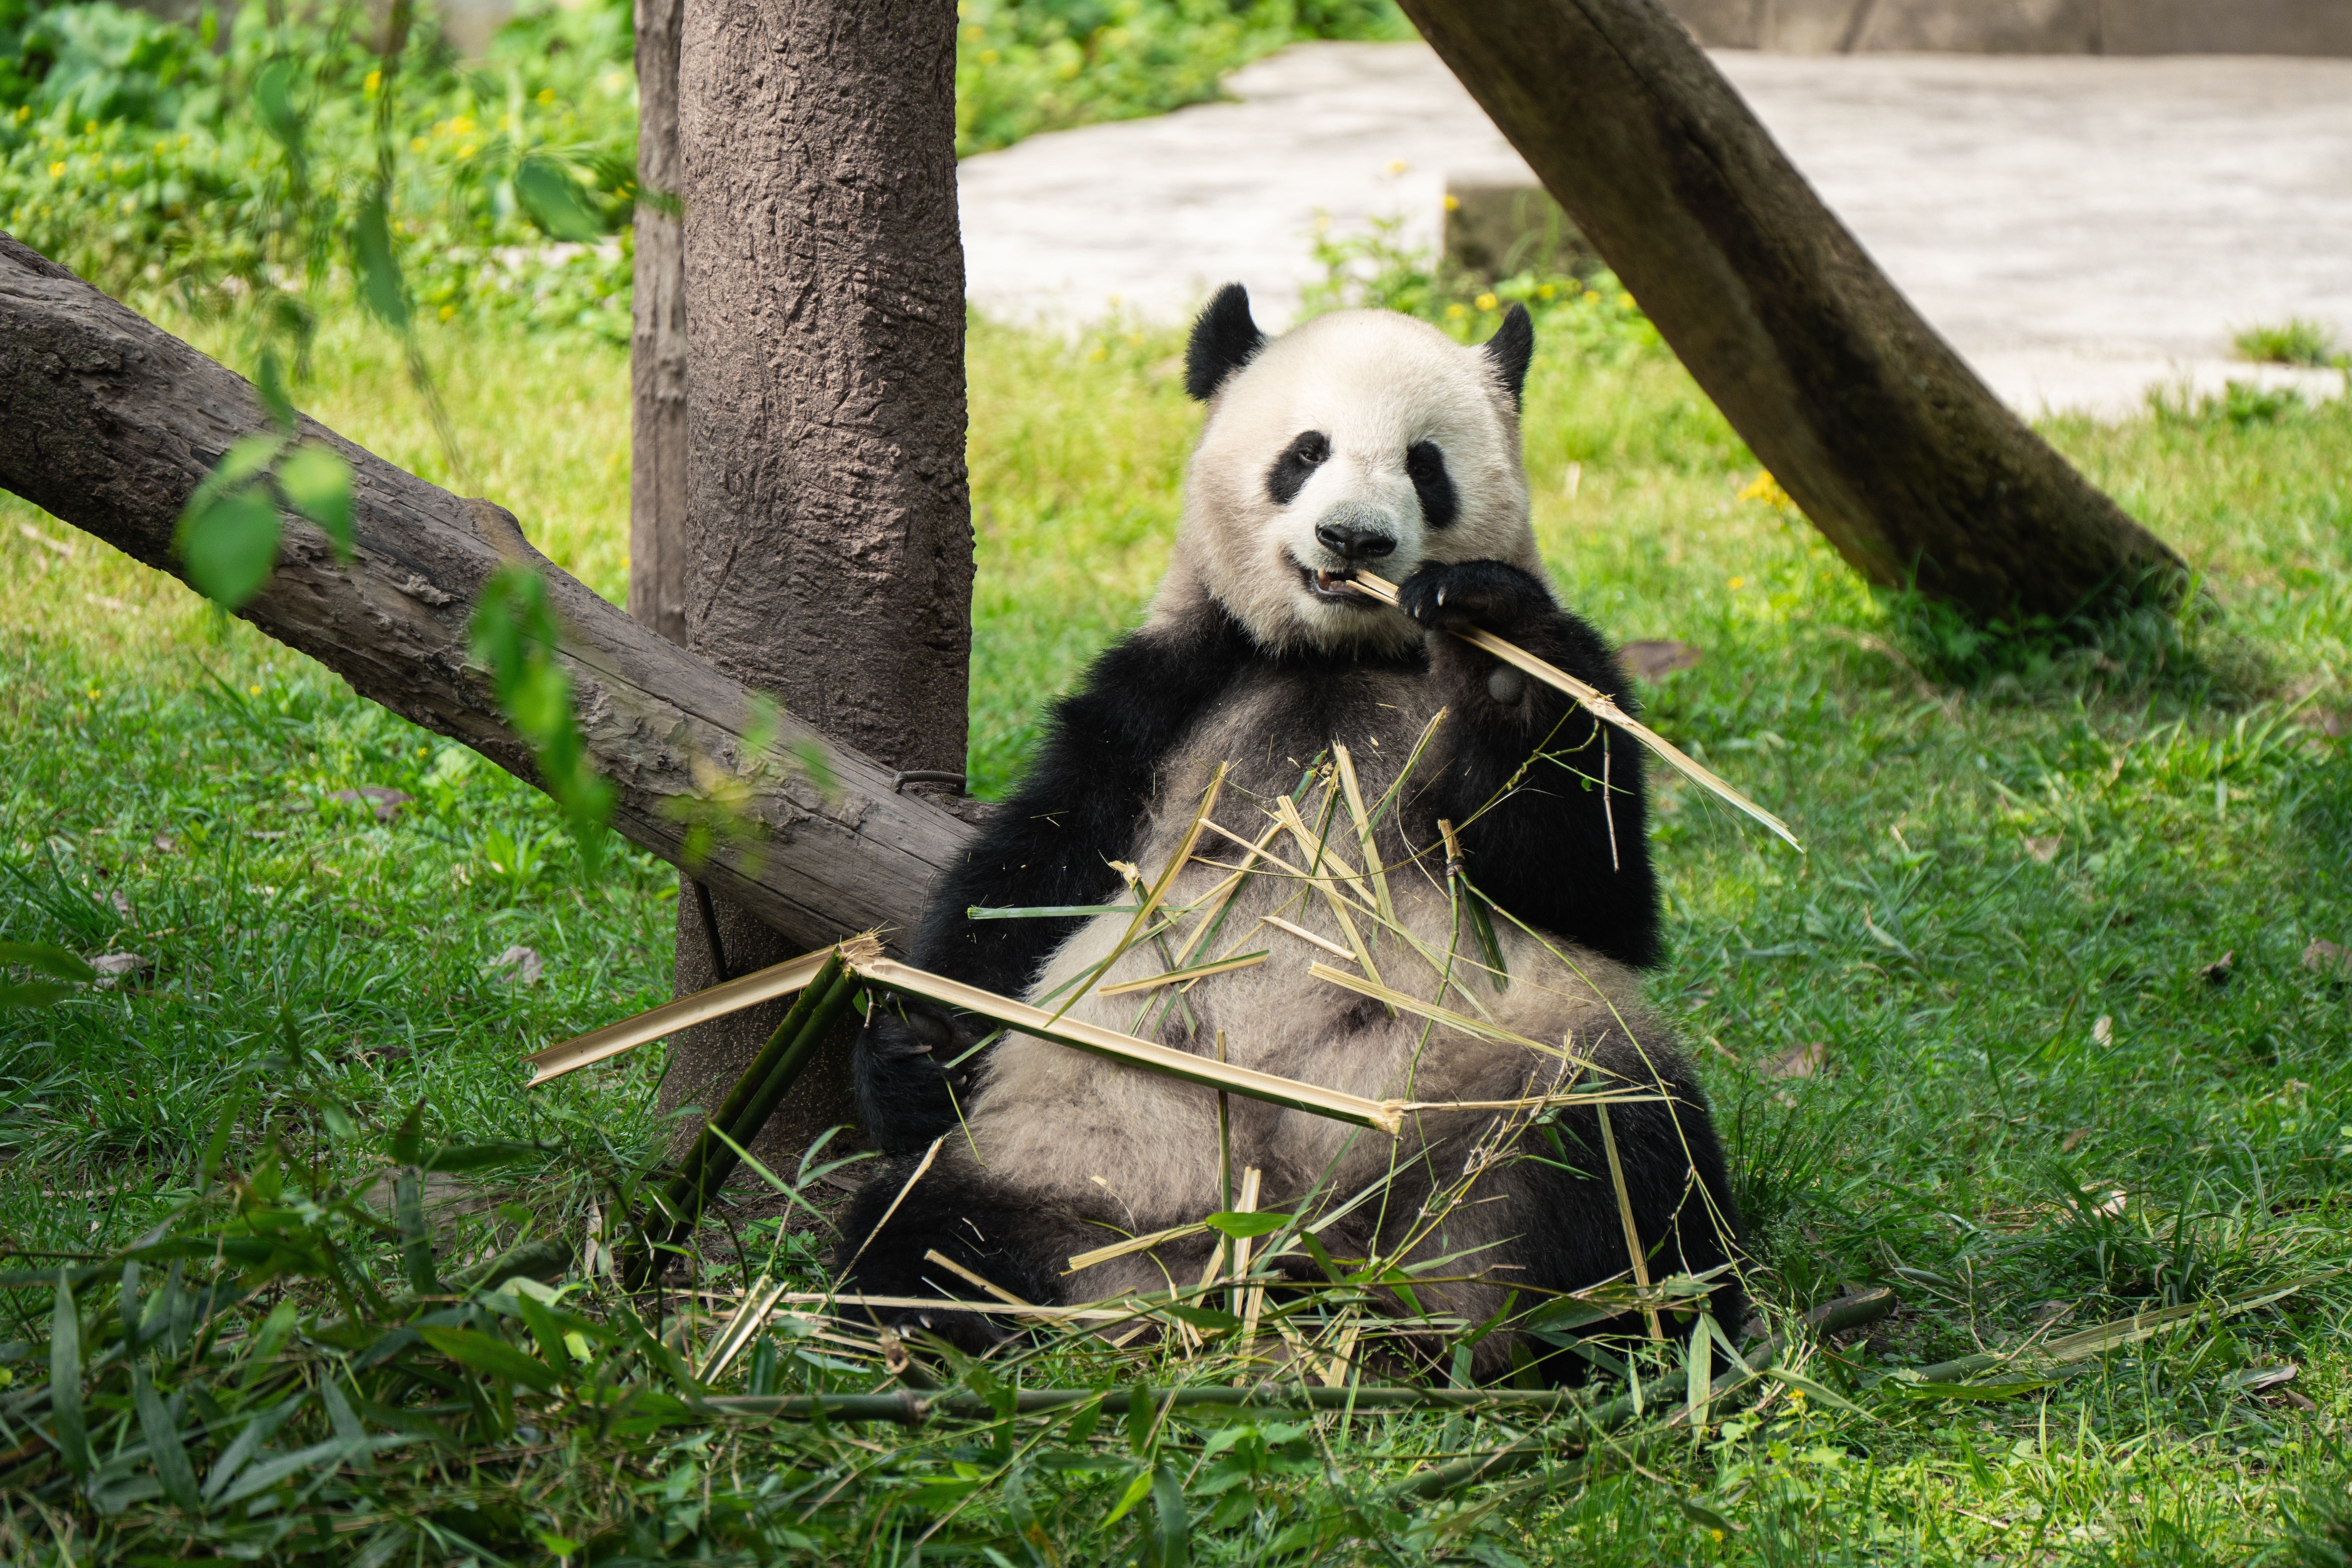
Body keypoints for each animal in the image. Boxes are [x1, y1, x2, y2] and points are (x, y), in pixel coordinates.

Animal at [839, 285, 1744, 1380]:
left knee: (1623, 1143)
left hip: (1493, 1101)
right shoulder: (1167, 700)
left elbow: (1594, 892)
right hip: (1082, 1160)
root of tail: (1294, 1259)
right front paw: (908, 1054)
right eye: (1305, 451)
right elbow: (1028, 876)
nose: (1354, 541)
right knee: (924, 1230)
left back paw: (1635, 1338)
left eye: (1425, 464)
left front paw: (1499, 652)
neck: (1333, 654)